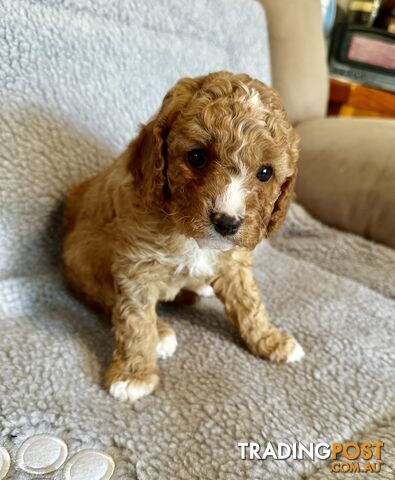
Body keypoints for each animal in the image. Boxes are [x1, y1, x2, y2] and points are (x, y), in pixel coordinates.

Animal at [62, 70, 304, 402]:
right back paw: (161, 333)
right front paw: (134, 374)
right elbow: (134, 319)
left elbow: (249, 303)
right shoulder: (136, 266)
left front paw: (270, 339)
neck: (189, 236)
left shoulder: (234, 261)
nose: (227, 222)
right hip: (81, 255)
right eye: (197, 157)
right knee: (106, 298)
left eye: (265, 173)